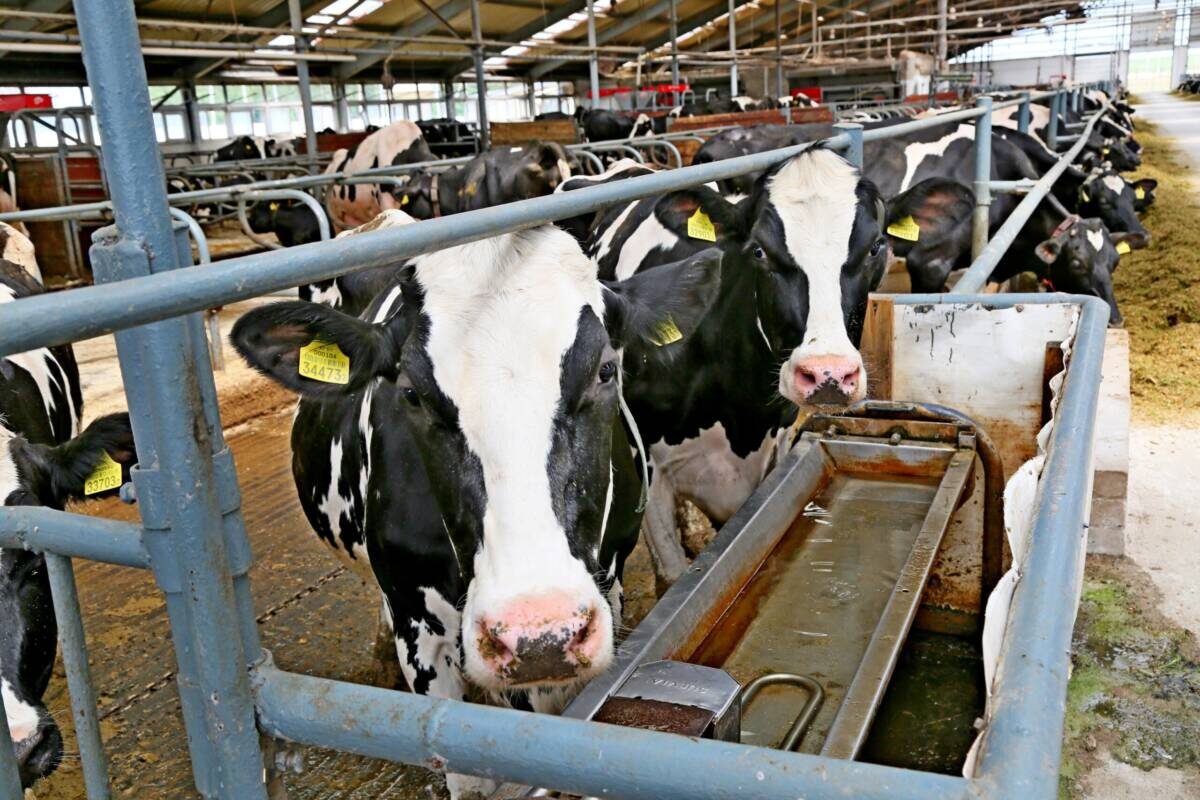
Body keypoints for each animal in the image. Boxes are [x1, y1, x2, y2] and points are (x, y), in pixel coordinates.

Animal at [574, 146, 888, 584]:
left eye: (876, 246)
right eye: (758, 251)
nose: (829, 374)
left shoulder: (773, 451)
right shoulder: (647, 469)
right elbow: (673, 572)